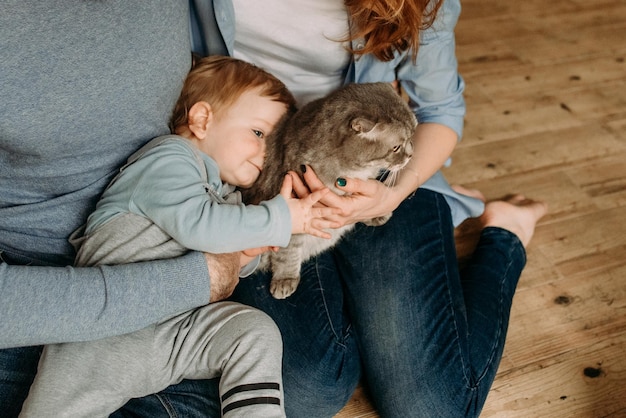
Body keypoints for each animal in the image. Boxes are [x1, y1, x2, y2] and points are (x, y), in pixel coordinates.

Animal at [241, 81, 416, 298]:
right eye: (396, 147)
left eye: (413, 136)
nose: (411, 154)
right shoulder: (291, 213)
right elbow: (287, 253)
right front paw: (285, 278)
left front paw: (375, 212)